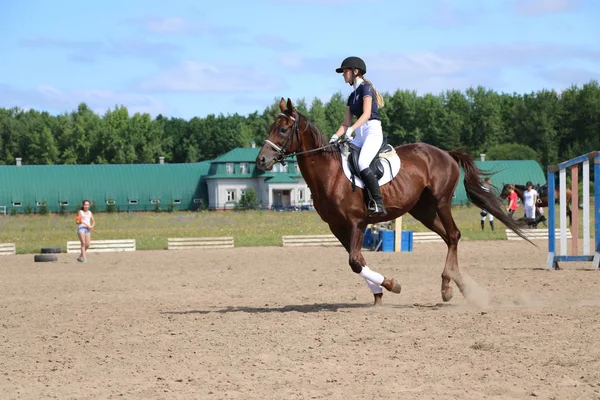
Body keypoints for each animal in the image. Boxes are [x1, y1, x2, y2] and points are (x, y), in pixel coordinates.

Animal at [255, 98, 528, 304]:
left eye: (282, 129)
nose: (261, 161)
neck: (330, 173)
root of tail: (445, 153)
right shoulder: (337, 227)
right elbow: (359, 261)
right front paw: (379, 293)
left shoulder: (356, 223)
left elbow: (355, 262)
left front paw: (391, 285)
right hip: (424, 211)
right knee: (448, 237)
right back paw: (455, 283)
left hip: (441, 203)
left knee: (453, 235)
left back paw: (448, 286)